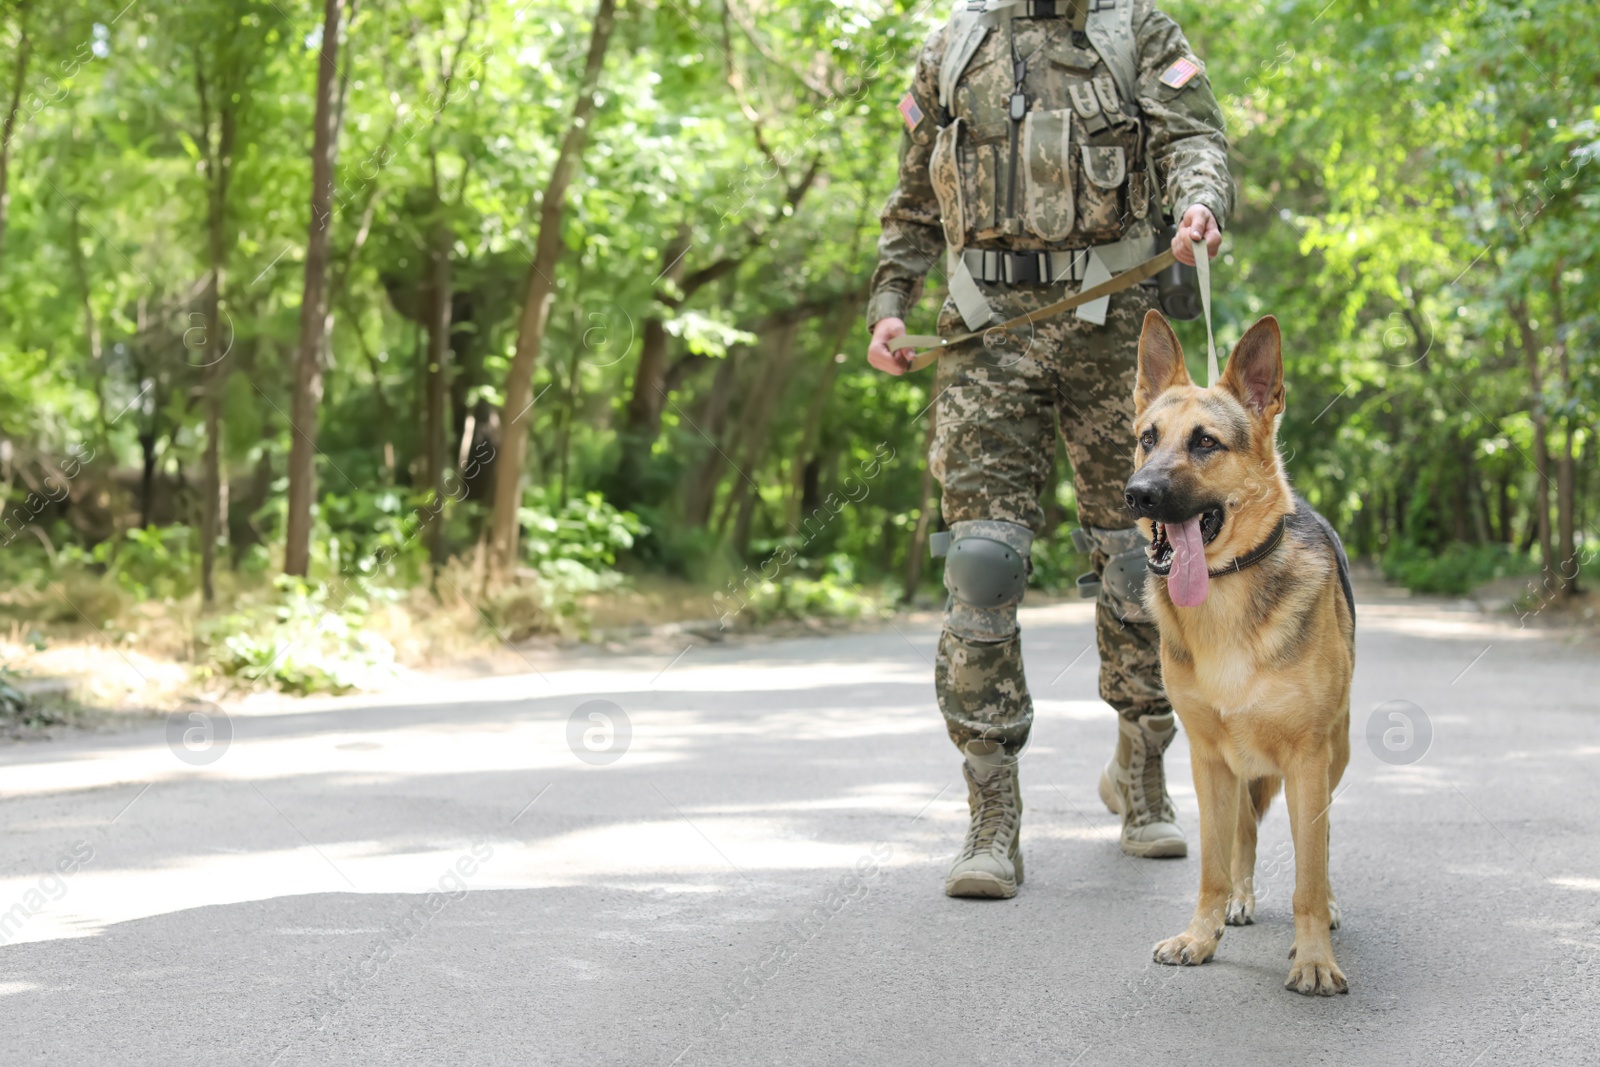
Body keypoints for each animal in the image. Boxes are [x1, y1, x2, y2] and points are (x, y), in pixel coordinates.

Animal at [1120, 313, 1356, 998]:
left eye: (1205, 442)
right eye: (1147, 439)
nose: (1138, 495)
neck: (1225, 594)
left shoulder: (1308, 757)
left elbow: (1309, 872)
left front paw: (1314, 957)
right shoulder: (1207, 759)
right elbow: (1213, 863)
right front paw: (1202, 935)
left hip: (1334, 755)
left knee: (1319, 843)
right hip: (1239, 765)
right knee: (1244, 835)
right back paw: (1239, 901)